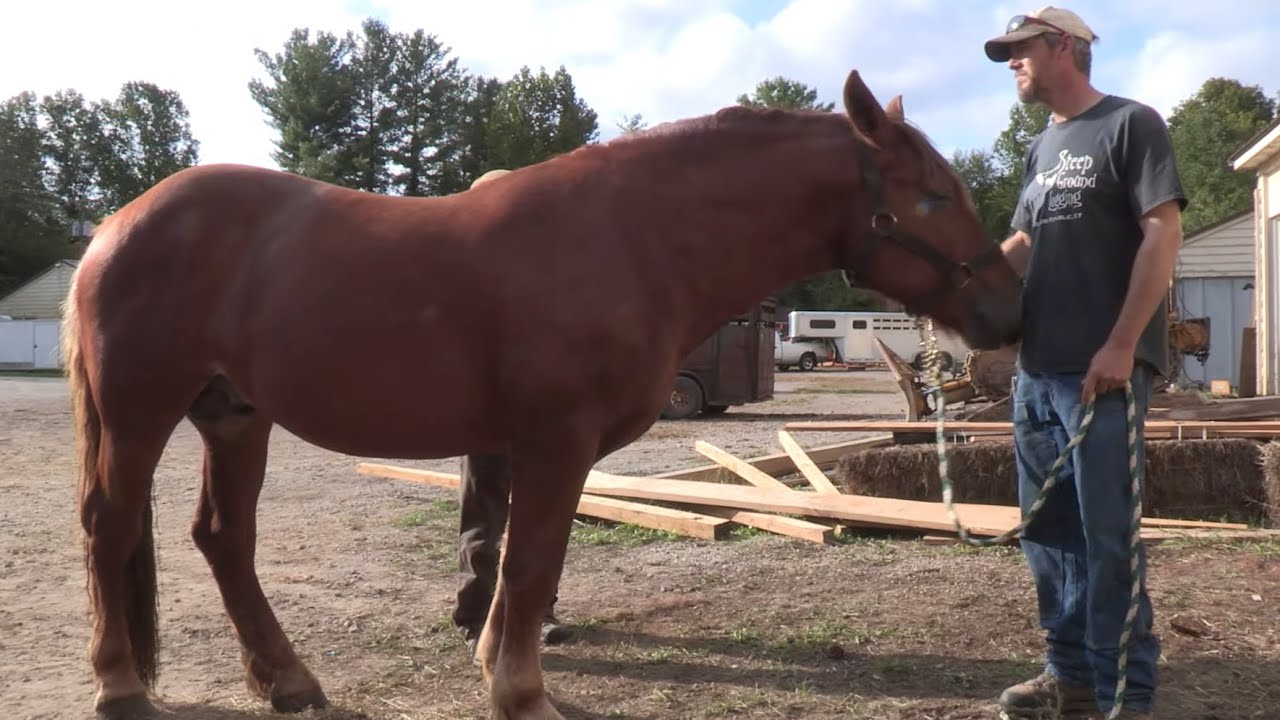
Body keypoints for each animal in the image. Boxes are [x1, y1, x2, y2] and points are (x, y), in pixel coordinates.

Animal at [62, 69, 1022, 720]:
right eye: (933, 196)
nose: (1006, 306)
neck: (631, 241)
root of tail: (118, 225)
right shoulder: (557, 441)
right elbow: (529, 563)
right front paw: (521, 691)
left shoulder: (537, 447)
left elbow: (522, 565)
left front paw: (500, 666)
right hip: (141, 413)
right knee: (112, 525)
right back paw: (118, 685)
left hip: (234, 416)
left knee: (225, 539)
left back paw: (288, 681)